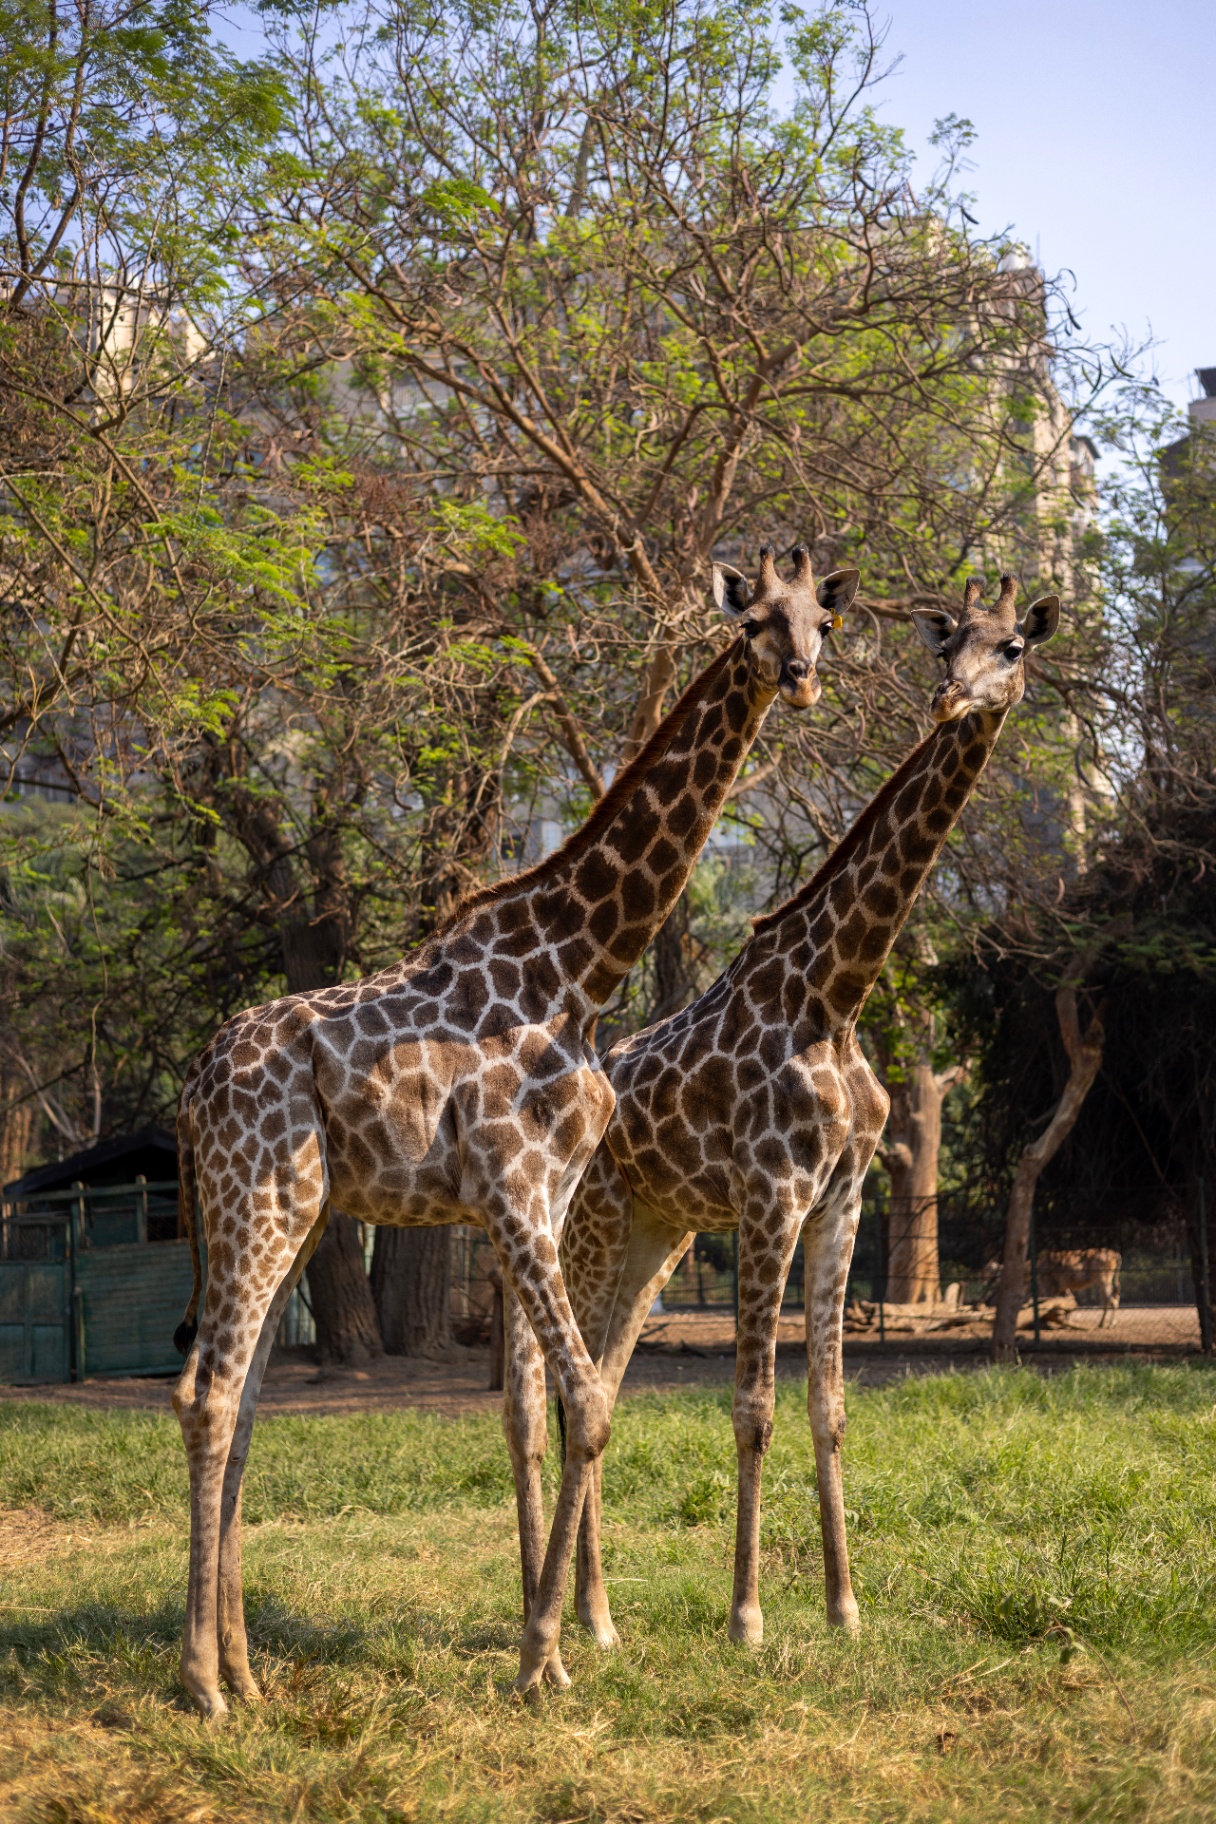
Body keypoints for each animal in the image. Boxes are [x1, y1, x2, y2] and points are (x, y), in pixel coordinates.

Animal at [171, 545, 859, 1718]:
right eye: (755, 620)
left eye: (821, 618)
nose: (804, 677)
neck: (577, 970)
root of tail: (192, 1091)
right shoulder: (512, 1187)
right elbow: (583, 1401)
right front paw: (544, 1657)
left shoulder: (544, 1194)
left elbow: (562, 1405)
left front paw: (557, 1645)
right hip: (255, 1200)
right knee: (208, 1394)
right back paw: (203, 1686)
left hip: (289, 1217)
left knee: (243, 1401)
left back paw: (249, 1678)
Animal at [556, 573, 1060, 1652]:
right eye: (946, 643)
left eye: (1010, 649)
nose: (950, 698)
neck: (837, 993)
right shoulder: (771, 1196)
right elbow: (754, 1405)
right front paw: (746, 1618)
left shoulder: (843, 1200)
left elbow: (829, 1404)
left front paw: (843, 1607)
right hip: (592, 1227)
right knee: (561, 1390)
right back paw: (577, 1615)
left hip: (656, 1239)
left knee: (602, 1385)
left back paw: (591, 1615)